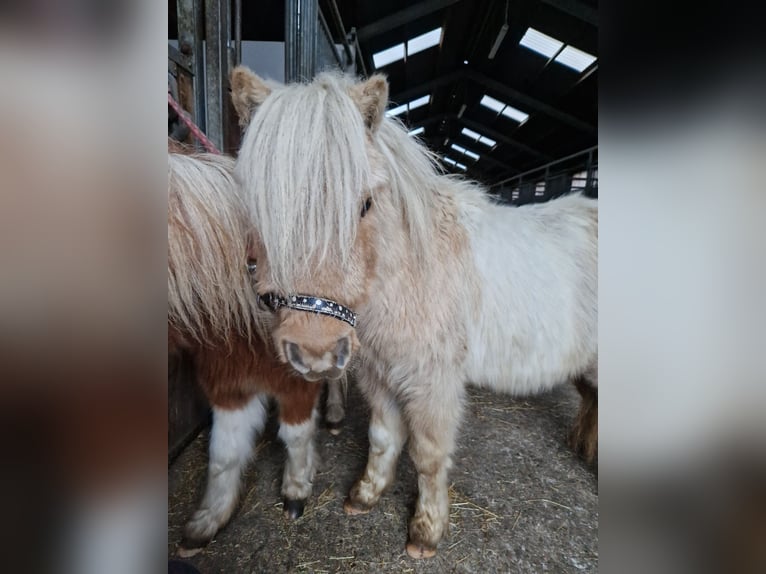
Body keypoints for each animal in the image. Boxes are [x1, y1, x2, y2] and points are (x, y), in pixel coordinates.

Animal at [171, 141, 348, 560]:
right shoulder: (228, 385)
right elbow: (223, 455)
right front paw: (208, 520)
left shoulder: (297, 382)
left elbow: (296, 435)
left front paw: (297, 487)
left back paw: (334, 412)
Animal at [231, 66, 604, 560]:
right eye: (263, 208)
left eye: (365, 204)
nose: (315, 352)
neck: (405, 273)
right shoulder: (379, 373)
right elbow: (383, 438)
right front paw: (365, 496)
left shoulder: (433, 383)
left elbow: (427, 455)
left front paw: (426, 531)